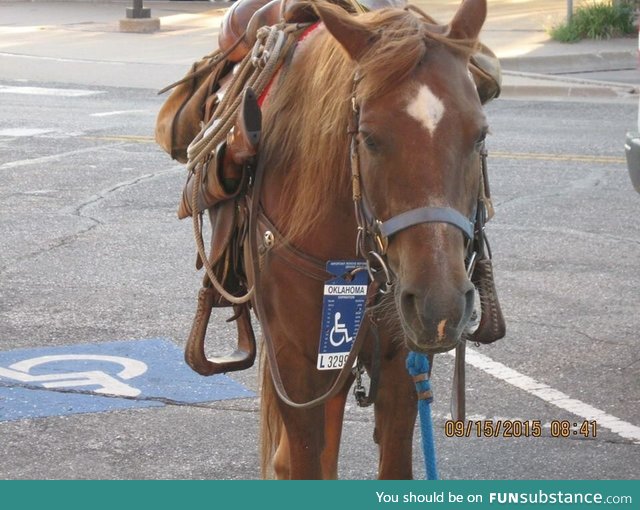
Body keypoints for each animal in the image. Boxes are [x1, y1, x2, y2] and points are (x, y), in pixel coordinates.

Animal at [248, 0, 488, 478]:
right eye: (370, 139)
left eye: (479, 136)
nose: (440, 306)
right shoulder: (296, 361)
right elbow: (304, 461)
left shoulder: (402, 359)